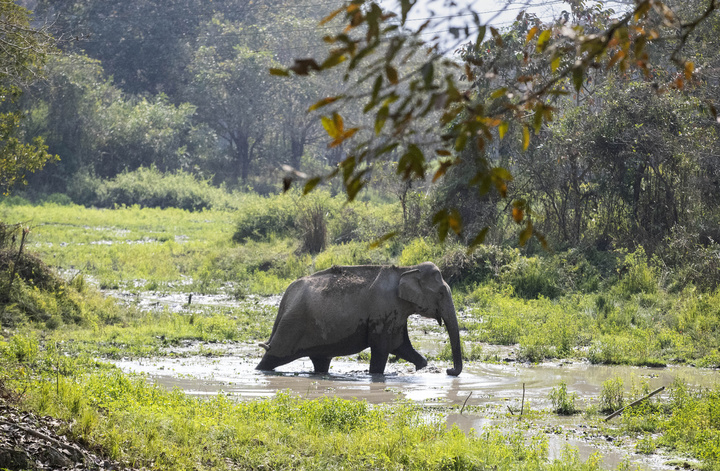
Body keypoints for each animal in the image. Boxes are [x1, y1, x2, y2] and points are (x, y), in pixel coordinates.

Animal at [256, 262, 464, 376]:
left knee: (320, 362)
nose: (449, 371)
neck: (407, 269)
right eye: (441, 293)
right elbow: (381, 348)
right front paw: (375, 376)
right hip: (292, 326)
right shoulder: (383, 310)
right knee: (272, 357)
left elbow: (400, 345)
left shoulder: (395, 313)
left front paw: (421, 367)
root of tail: (286, 297)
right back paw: (260, 371)